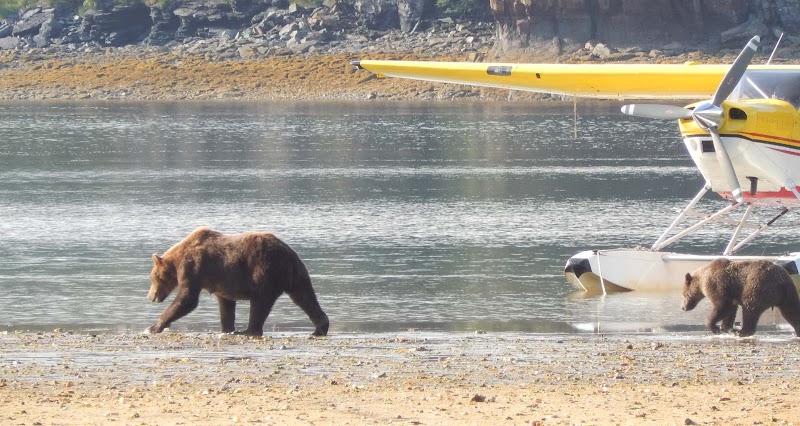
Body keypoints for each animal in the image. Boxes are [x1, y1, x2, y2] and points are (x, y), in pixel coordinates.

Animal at [147, 227, 329, 337]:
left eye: (153, 278)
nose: (150, 297)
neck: (178, 259)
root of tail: (290, 255)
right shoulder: (222, 281)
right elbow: (226, 304)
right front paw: (226, 328)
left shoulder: (193, 268)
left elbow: (187, 298)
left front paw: (154, 327)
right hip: (296, 275)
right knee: (305, 297)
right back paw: (320, 328)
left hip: (265, 272)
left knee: (260, 303)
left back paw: (248, 330)